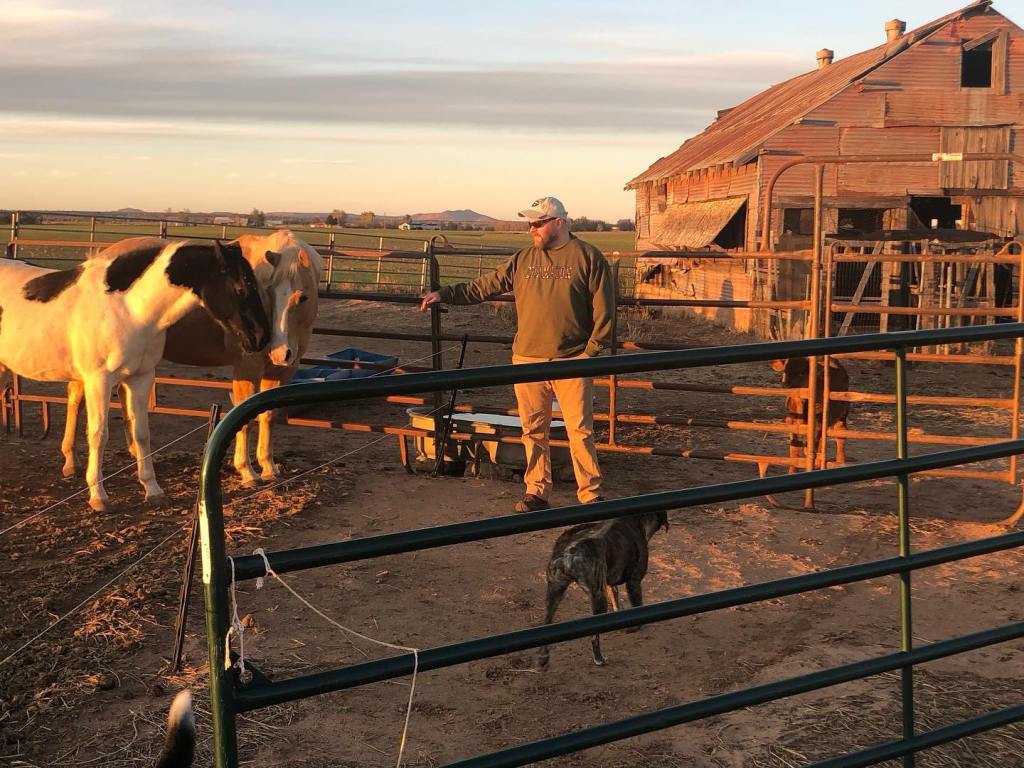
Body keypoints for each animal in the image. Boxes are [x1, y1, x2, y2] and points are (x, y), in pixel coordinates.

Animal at [0, 240, 270, 512]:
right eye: (240, 287)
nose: (261, 338)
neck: (128, 308)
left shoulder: (141, 377)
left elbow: (141, 433)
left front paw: (153, 490)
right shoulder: (99, 381)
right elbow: (99, 435)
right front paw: (99, 496)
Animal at [62, 231, 321, 487]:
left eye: (303, 298)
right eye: (269, 292)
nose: (278, 351)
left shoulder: (282, 371)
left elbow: (268, 416)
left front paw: (269, 467)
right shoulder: (248, 366)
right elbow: (244, 417)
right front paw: (247, 471)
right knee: (76, 397)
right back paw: (71, 461)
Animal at [538, 509, 669, 667]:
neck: (637, 519)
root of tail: (567, 552)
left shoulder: (611, 585)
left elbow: (617, 603)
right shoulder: (634, 581)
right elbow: (637, 604)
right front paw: (635, 627)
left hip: (554, 594)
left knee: (546, 623)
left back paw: (543, 657)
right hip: (598, 597)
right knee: (594, 638)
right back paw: (599, 659)